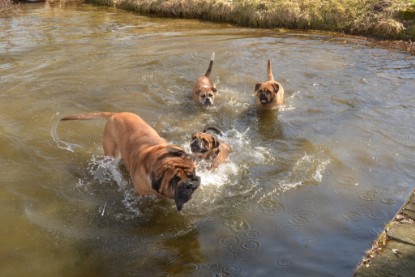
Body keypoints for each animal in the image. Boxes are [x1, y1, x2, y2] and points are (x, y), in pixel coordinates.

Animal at [60, 111, 202, 210]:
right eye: (175, 180)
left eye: (191, 173)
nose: (190, 184)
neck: (159, 158)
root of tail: (115, 114)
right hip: (112, 152)